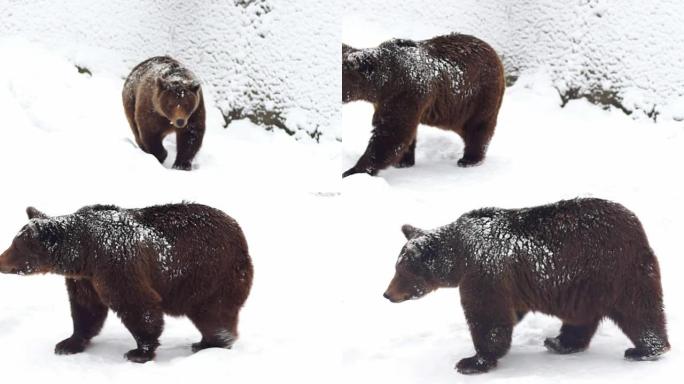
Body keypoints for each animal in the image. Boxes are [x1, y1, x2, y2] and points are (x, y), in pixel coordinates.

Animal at [0, 202, 254, 362]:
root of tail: (240, 232)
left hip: (209, 274)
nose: (0, 261)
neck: (83, 254)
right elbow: (85, 309)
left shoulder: (116, 263)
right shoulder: (86, 279)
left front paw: (139, 352)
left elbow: (137, 304)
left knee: (213, 314)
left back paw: (212, 344)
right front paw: (67, 343)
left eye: (15, 246)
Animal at [344, 33, 504, 178]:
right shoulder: (385, 100)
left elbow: (391, 133)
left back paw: (469, 160)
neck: (383, 83)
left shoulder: (405, 92)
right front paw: (403, 161)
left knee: (478, 127)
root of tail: (495, 53)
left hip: (478, 96)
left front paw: (353, 171)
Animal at [384, 198, 668, 376]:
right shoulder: (508, 283)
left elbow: (487, 316)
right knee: (583, 317)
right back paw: (560, 342)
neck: (460, 258)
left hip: (614, 270)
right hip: (585, 285)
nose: (387, 294)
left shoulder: (485, 272)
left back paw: (645, 349)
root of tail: (636, 224)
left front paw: (471, 361)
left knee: (638, 310)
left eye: (400, 271)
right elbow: (507, 314)